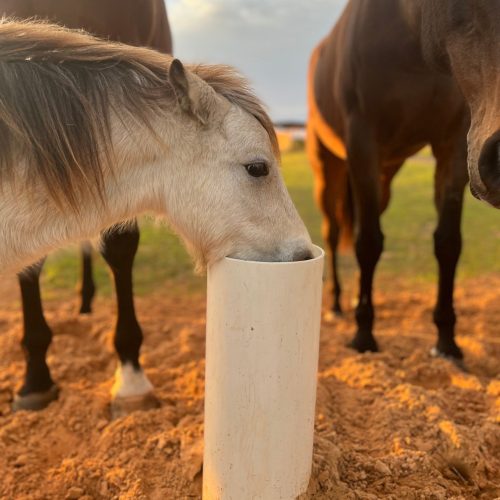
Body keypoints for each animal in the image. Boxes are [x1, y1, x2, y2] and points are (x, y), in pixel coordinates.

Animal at [308, 0, 468, 360]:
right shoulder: (363, 141)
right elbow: (368, 242)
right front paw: (364, 335)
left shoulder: (453, 144)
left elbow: (448, 243)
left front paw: (446, 341)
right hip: (329, 168)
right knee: (333, 231)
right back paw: (337, 303)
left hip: (385, 174)